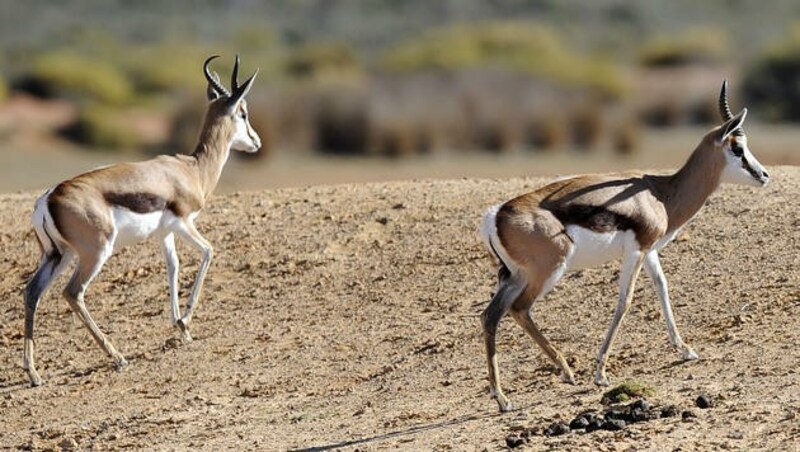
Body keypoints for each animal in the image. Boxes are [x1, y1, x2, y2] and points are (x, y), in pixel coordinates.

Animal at [22, 53, 260, 384]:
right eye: (244, 113)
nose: (256, 142)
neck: (192, 169)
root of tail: (49, 197)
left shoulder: (165, 233)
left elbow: (173, 268)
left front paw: (181, 329)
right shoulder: (184, 223)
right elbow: (209, 252)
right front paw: (185, 320)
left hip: (58, 255)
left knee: (32, 292)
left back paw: (33, 374)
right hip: (95, 253)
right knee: (73, 293)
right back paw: (118, 357)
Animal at [482, 80, 768, 410]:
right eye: (738, 148)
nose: (764, 175)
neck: (661, 195)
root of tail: (496, 214)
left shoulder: (650, 251)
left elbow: (662, 289)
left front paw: (686, 350)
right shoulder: (637, 251)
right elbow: (626, 301)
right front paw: (601, 373)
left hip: (514, 276)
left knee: (490, 316)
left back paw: (502, 396)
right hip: (547, 272)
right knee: (519, 309)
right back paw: (563, 373)